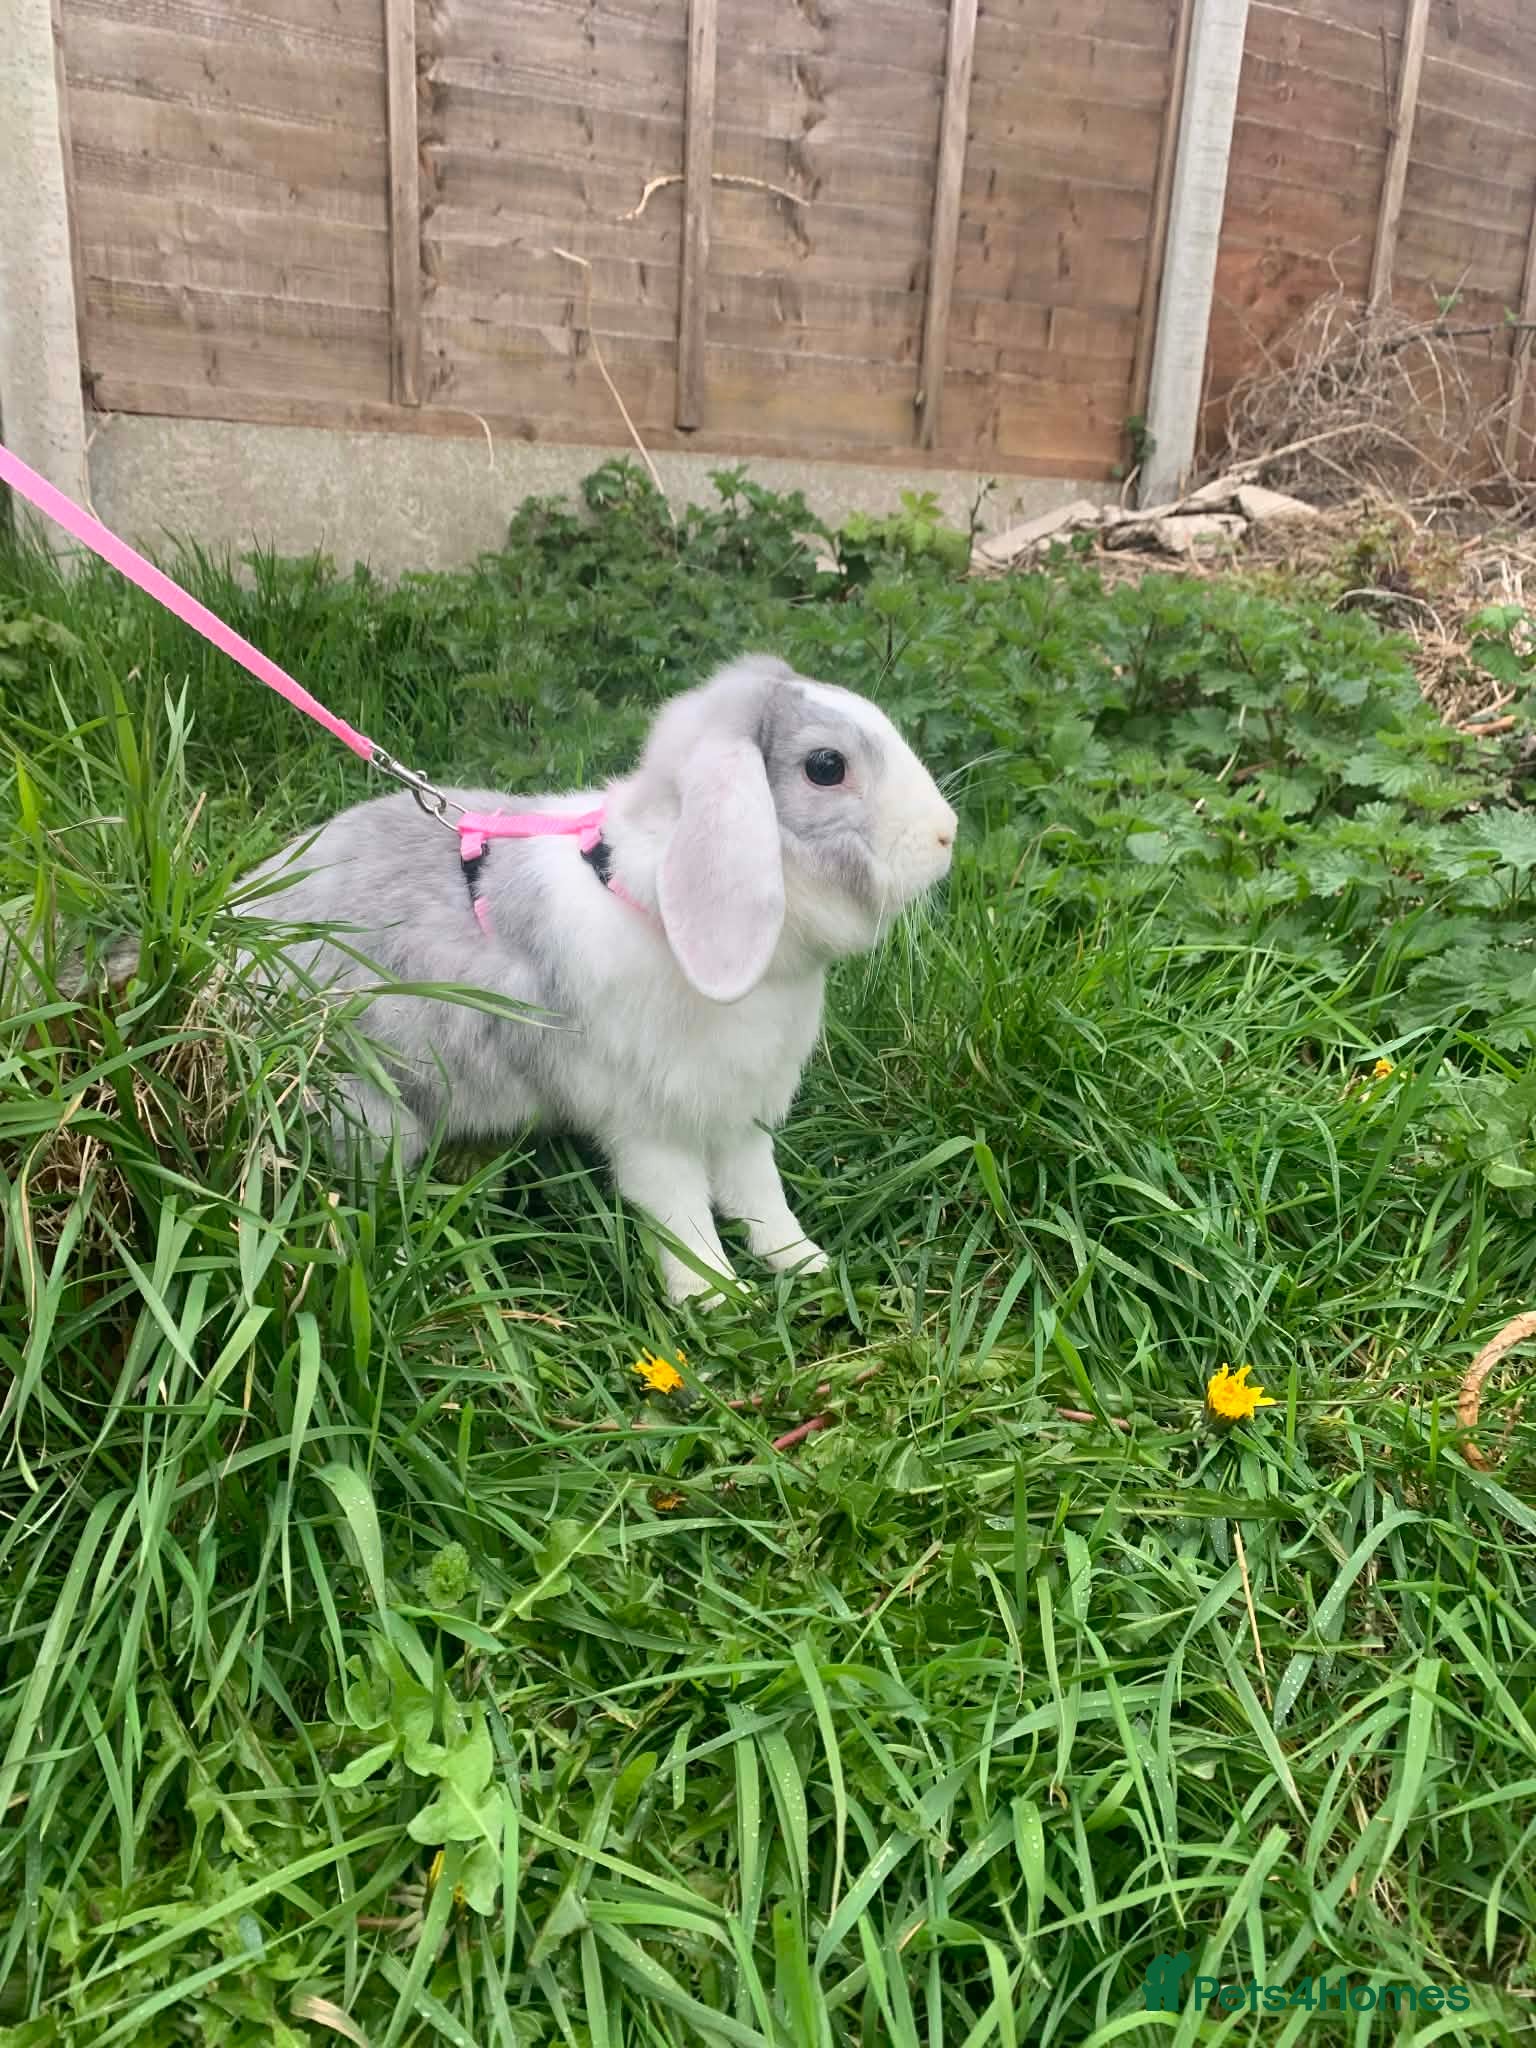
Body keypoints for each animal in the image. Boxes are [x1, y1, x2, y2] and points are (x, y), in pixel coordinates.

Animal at [239, 654, 958, 1303]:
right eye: (826, 767)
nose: (947, 835)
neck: (657, 906)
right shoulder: (648, 1124)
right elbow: (679, 1212)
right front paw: (717, 1299)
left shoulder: (738, 1114)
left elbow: (759, 1193)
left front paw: (804, 1264)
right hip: (375, 1115)